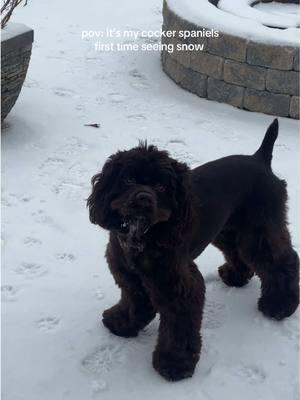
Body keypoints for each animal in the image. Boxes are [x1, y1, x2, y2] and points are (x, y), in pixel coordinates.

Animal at [86, 119, 298, 382]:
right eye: (129, 180)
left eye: (161, 186)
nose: (144, 198)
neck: (142, 236)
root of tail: (260, 158)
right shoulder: (129, 277)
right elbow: (134, 302)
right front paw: (121, 323)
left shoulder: (180, 286)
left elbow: (179, 328)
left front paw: (174, 364)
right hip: (226, 230)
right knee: (238, 253)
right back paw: (235, 277)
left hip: (259, 231)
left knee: (283, 261)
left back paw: (279, 306)